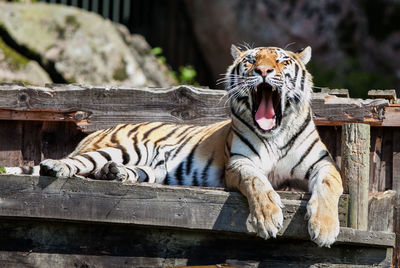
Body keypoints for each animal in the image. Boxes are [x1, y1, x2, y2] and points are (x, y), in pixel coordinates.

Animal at [4, 45, 344, 248]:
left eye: (282, 61)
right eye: (250, 61)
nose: (263, 72)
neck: (275, 133)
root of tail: (98, 131)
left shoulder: (323, 164)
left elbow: (329, 187)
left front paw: (325, 228)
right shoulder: (240, 163)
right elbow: (258, 183)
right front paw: (268, 218)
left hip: (149, 169)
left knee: (116, 171)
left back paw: (115, 174)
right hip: (116, 148)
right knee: (76, 163)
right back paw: (56, 166)